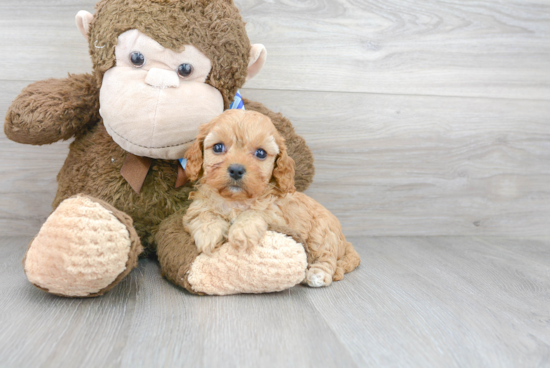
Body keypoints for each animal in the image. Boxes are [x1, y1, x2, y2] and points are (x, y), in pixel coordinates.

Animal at [183, 109, 360, 288]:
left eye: (261, 153)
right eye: (218, 147)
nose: (236, 170)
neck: (236, 199)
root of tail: (345, 241)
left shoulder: (277, 215)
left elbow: (255, 212)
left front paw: (242, 231)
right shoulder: (198, 205)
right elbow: (204, 214)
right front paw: (208, 233)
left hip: (322, 234)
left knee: (327, 257)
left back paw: (318, 274)